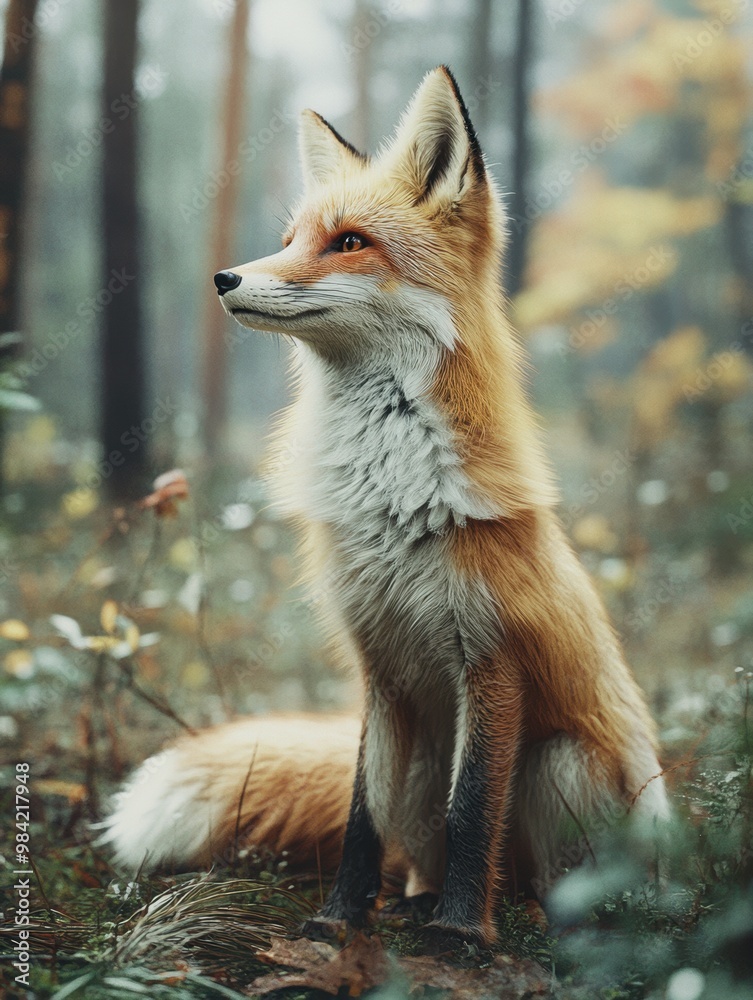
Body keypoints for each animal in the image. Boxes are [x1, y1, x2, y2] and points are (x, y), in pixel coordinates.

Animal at [102, 67, 669, 947]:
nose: (225, 279)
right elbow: (361, 818)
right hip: (428, 754)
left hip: (560, 763)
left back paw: (538, 921)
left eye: (349, 242)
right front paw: (338, 920)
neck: (390, 503)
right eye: (292, 236)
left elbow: (474, 812)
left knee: (542, 875)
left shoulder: (492, 662)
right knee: (412, 848)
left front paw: (461, 936)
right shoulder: (380, 665)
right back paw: (412, 900)